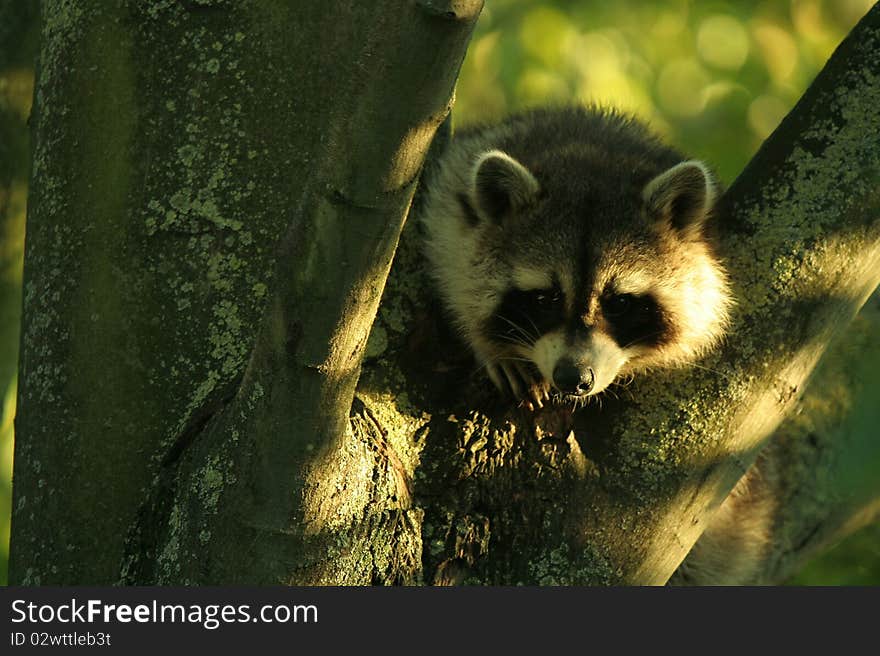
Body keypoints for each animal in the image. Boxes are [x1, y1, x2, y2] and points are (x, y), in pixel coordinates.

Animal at [420, 107, 728, 404]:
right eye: (544, 298)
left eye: (620, 303)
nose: (573, 378)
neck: (589, 157)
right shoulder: (452, 189)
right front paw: (488, 347)